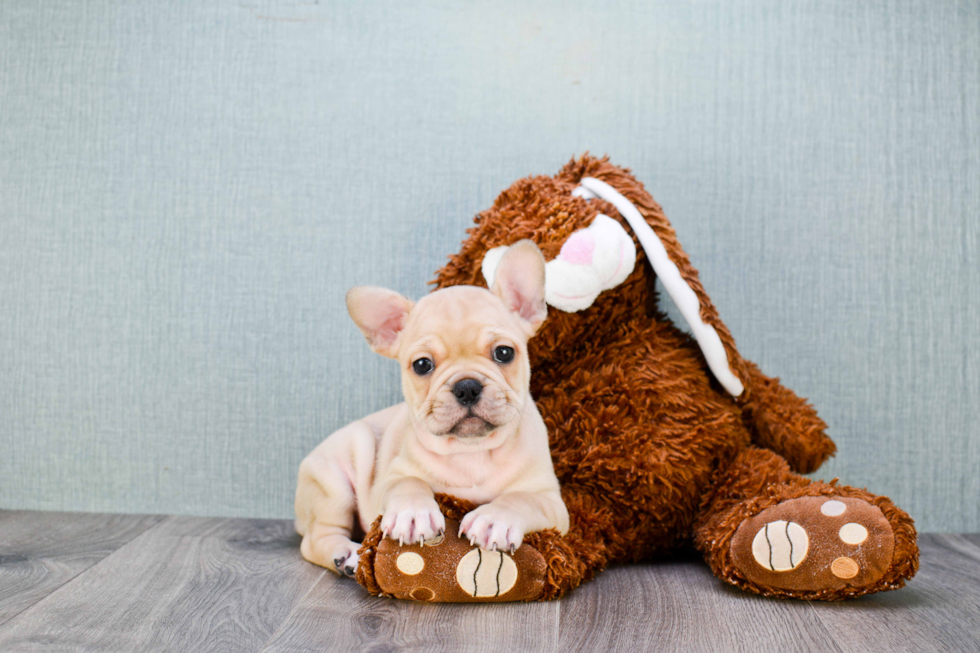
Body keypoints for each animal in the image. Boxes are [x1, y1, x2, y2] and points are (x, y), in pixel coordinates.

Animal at [292, 239, 568, 576]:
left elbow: (520, 499)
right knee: (316, 539)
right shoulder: (391, 480)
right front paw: (413, 513)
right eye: (422, 365)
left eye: (504, 352)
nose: (467, 386)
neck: (472, 451)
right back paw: (346, 556)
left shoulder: (551, 502)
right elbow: (408, 482)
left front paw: (495, 520)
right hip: (333, 485)